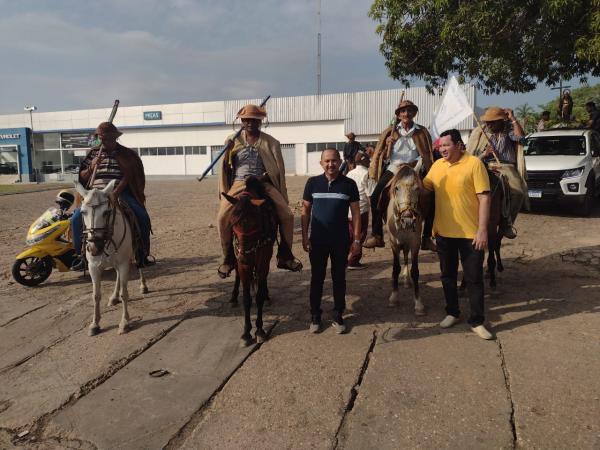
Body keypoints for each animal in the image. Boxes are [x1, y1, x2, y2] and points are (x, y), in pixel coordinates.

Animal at [74, 181, 148, 336]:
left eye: (106, 212)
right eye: (83, 212)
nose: (94, 247)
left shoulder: (124, 263)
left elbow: (125, 293)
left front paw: (125, 322)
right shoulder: (93, 267)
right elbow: (96, 295)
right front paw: (95, 324)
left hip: (135, 251)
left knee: (139, 264)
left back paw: (143, 286)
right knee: (118, 276)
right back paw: (114, 297)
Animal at [221, 177, 278, 348]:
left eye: (255, 224)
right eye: (233, 223)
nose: (244, 258)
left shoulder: (263, 260)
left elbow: (258, 295)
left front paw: (259, 330)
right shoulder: (242, 263)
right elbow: (246, 298)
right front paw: (246, 333)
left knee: (262, 281)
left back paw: (267, 295)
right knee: (238, 276)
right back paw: (233, 297)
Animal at [384, 163, 426, 314]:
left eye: (417, 188)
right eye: (397, 188)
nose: (407, 219)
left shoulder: (415, 243)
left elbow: (415, 271)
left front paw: (419, 304)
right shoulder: (394, 243)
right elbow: (395, 268)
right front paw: (394, 298)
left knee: (406, 256)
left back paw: (407, 280)